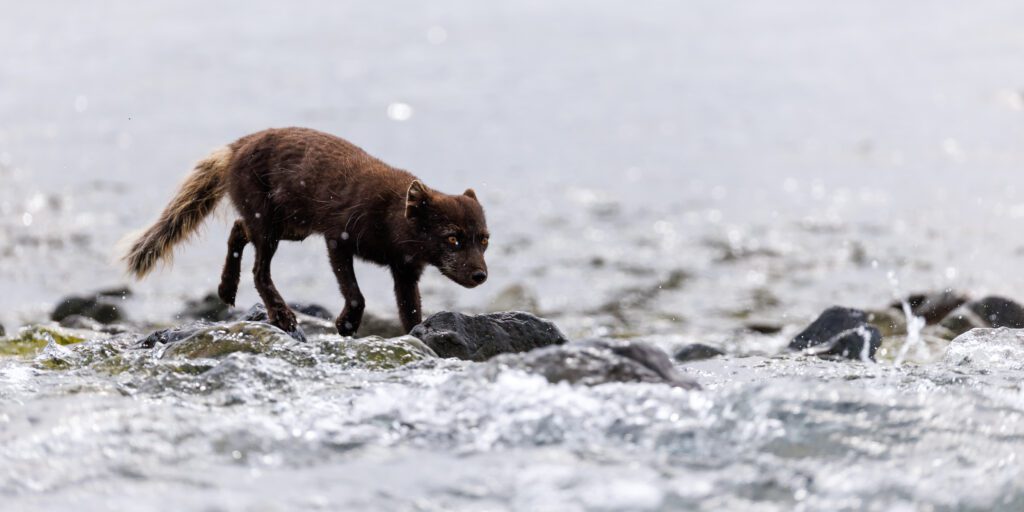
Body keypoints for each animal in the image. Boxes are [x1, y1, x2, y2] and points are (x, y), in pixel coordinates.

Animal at [123, 127, 490, 340]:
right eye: (453, 238)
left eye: (484, 240)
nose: (480, 276)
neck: (390, 218)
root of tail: (236, 145)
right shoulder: (338, 238)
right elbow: (355, 293)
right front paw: (346, 325)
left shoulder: (405, 270)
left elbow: (410, 310)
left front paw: (417, 335)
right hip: (270, 225)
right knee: (259, 270)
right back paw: (283, 316)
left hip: (290, 227)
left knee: (238, 230)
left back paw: (227, 289)